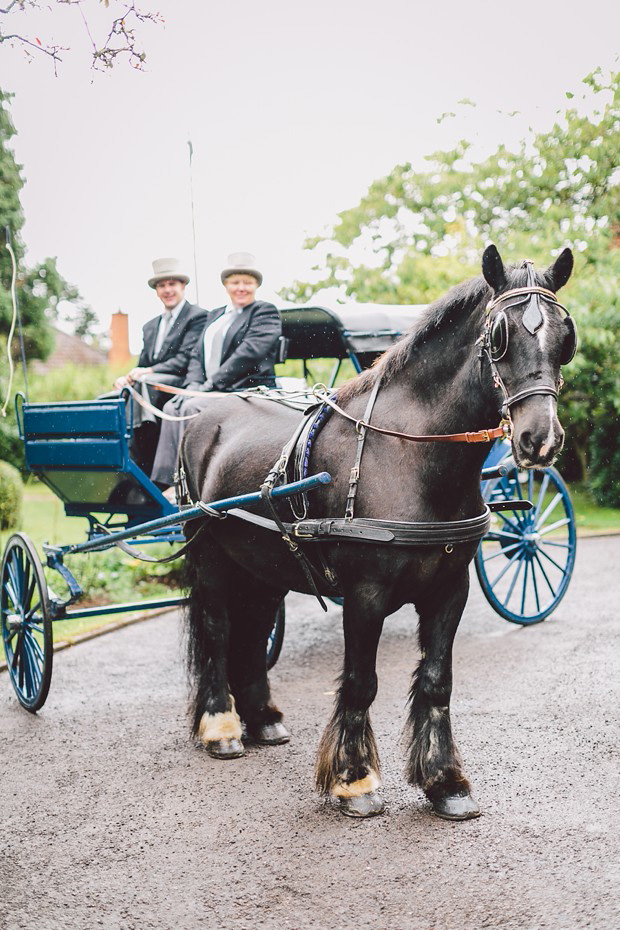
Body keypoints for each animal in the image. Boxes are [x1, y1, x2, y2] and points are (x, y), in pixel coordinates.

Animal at [180, 246, 576, 820]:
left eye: (565, 337)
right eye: (499, 336)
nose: (539, 438)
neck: (411, 454)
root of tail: (199, 409)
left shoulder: (450, 589)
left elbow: (436, 681)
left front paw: (445, 782)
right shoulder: (366, 594)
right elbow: (361, 682)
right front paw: (354, 779)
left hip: (264, 563)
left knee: (253, 628)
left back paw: (264, 719)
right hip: (212, 555)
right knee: (216, 629)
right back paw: (221, 728)